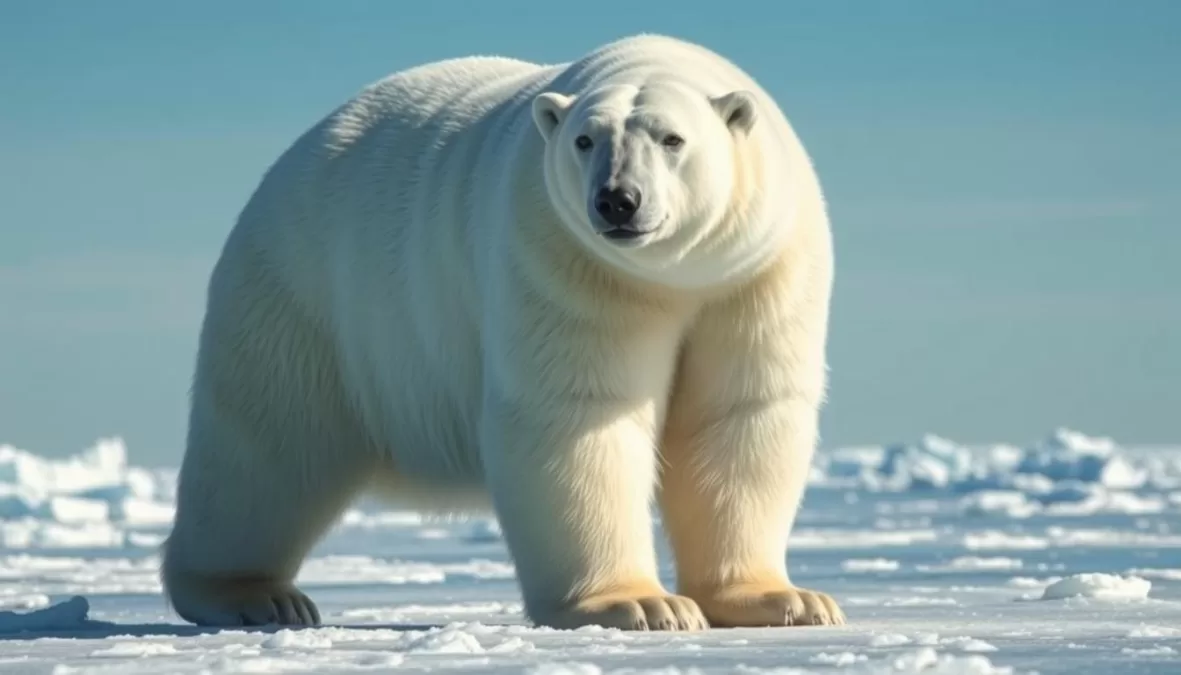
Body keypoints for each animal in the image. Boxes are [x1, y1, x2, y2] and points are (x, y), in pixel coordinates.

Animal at [161, 32, 843, 632]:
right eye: (585, 140)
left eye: (672, 138)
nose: (617, 201)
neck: (670, 278)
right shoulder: (563, 258)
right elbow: (580, 409)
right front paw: (640, 604)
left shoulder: (756, 272)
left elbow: (739, 411)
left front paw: (785, 599)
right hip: (311, 295)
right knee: (267, 448)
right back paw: (254, 596)